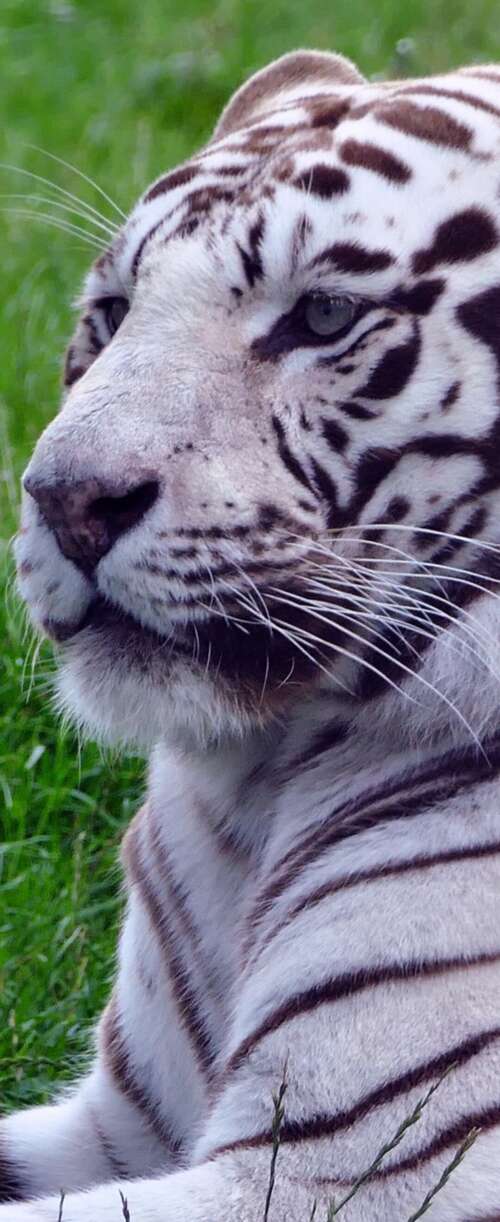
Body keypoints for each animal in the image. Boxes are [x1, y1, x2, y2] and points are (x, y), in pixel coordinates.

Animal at [4, 43, 500, 1221]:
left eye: (322, 317)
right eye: (112, 311)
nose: (65, 500)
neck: (260, 787)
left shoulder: (349, 1168)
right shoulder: (116, 1124)